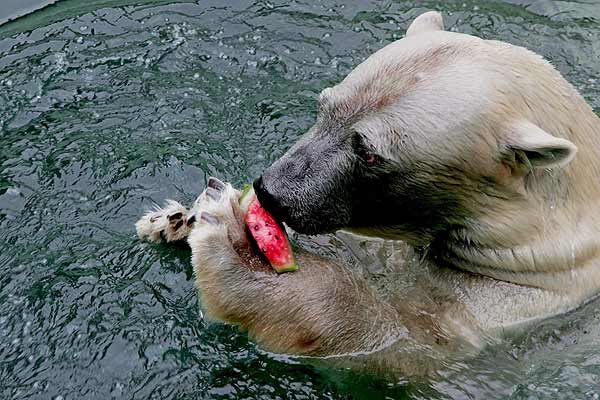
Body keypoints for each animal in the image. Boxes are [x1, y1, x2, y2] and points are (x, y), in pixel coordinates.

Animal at [134, 10, 600, 376]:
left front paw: (234, 242)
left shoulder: (501, 315)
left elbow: (390, 339)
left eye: (370, 153)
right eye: (324, 105)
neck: (540, 248)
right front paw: (173, 219)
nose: (270, 192)